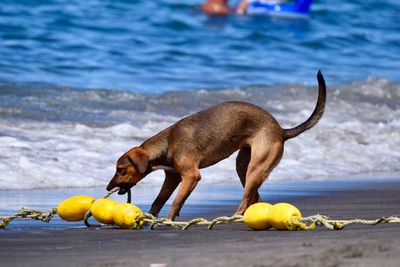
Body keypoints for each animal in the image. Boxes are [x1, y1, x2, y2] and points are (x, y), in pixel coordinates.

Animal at [106, 70, 324, 220]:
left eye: (120, 169)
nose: (108, 186)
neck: (167, 143)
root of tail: (280, 130)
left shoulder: (191, 176)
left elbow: (176, 201)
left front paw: (168, 220)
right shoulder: (172, 177)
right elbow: (158, 201)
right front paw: (151, 218)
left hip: (256, 168)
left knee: (247, 198)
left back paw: (234, 217)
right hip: (243, 166)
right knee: (256, 197)